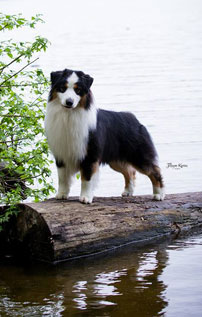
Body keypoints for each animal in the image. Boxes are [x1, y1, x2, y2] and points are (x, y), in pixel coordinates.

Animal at [45, 68, 165, 204]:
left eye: (78, 90)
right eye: (62, 88)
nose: (69, 102)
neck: (69, 115)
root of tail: (134, 118)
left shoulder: (90, 155)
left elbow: (86, 178)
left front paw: (85, 198)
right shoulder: (61, 153)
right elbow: (63, 178)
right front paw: (61, 194)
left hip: (138, 155)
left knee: (155, 171)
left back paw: (159, 194)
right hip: (117, 160)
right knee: (130, 172)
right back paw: (128, 192)